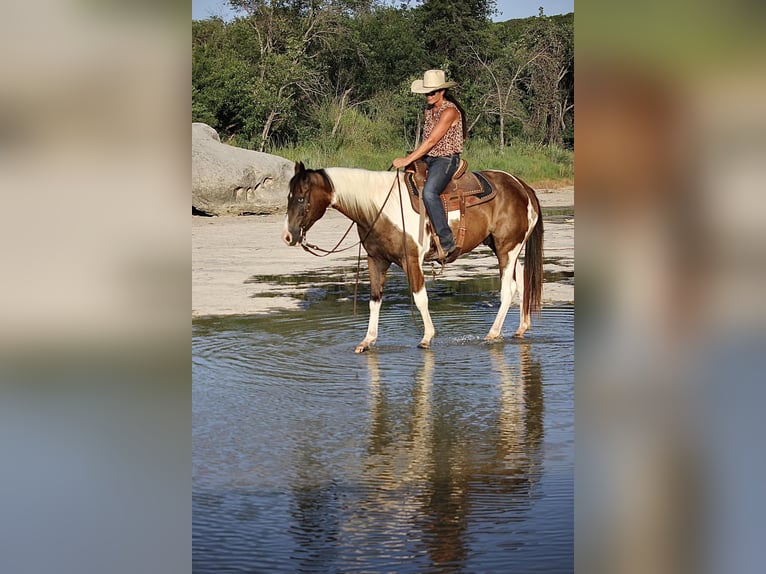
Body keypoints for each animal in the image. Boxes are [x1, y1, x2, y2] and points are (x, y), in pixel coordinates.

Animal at [284, 160, 544, 354]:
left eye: (301, 198)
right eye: (288, 197)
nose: (289, 236)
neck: (380, 208)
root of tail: (522, 186)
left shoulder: (411, 260)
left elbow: (420, 298)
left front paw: (427, 337)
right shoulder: (375, 260)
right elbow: (375, 300)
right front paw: (367, 341)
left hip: (507, 248)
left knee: (508, 289)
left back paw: (492, 334)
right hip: (506, 249)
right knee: (523, 282)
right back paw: (521, 329)